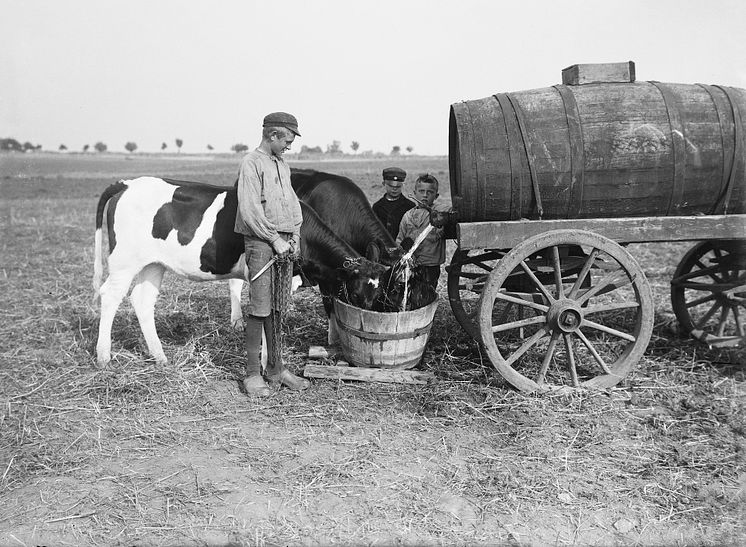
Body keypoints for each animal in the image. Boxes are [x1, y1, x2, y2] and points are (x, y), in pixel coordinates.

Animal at [91, 178, 384, 366]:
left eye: (378, 294)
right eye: (356, 294)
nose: (370, 319)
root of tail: (127, 183)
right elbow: (268, 316)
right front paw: (267, 362)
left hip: (153, 264)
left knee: (142, 301)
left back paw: (159, 356)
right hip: (124, 262)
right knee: (110, 297)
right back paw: (104, 356)